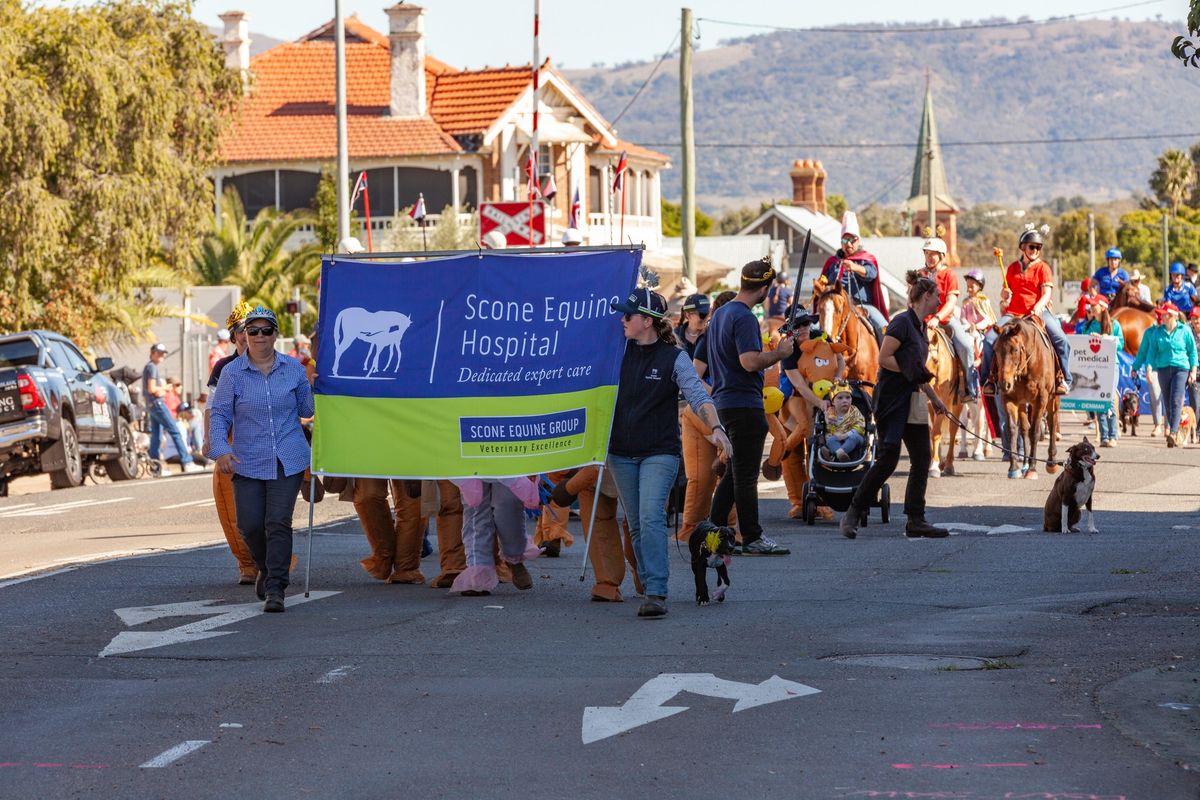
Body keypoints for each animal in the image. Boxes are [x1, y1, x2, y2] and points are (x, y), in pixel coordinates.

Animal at [926, 328, 964, 479]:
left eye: (935, 360)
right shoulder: (931, 403)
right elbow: (932, 431)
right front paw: (933, 463)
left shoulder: (942, 400)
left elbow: (936, 432)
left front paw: (934, 467)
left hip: (957, 403)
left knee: (953, 429)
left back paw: (948, 465)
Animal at [993, 316, 1060, 482]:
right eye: (996, 350)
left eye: (1015, 350)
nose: (1004, 384)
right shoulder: (1009, 398)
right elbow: (1013, 429)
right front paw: (1014, 468)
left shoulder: (1041, 399)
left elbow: (1035, 431)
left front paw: (1032, 469)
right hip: (1023, 403)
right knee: (1024, 429)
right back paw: (1024, 464)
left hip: (1053, 399)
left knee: (1052, 422)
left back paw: (1051, 462)